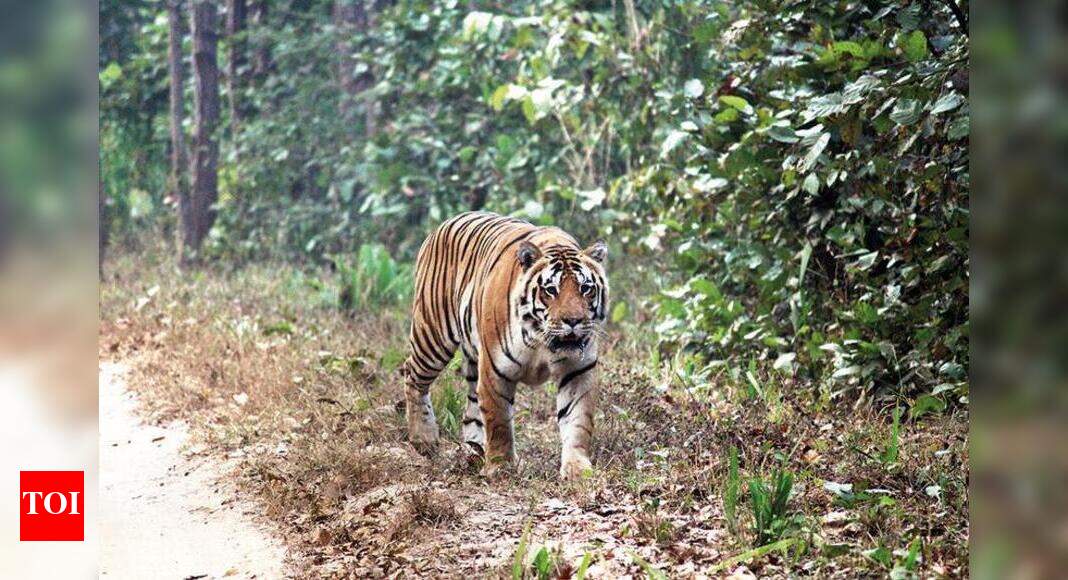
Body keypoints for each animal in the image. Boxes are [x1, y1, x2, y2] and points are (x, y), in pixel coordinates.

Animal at [401, 211, 609, 480]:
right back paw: (424, 438)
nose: (573, 321)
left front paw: (577, 469)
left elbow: (578, 421)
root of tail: (443, 224)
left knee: (471, 409)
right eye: (551, 290)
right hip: (433, 335)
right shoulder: (495, 371)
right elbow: (498, 421)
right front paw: (501, 467)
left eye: (585, 288)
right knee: (413, 375)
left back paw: (474, 451)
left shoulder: (577, 371)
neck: (542, 340)